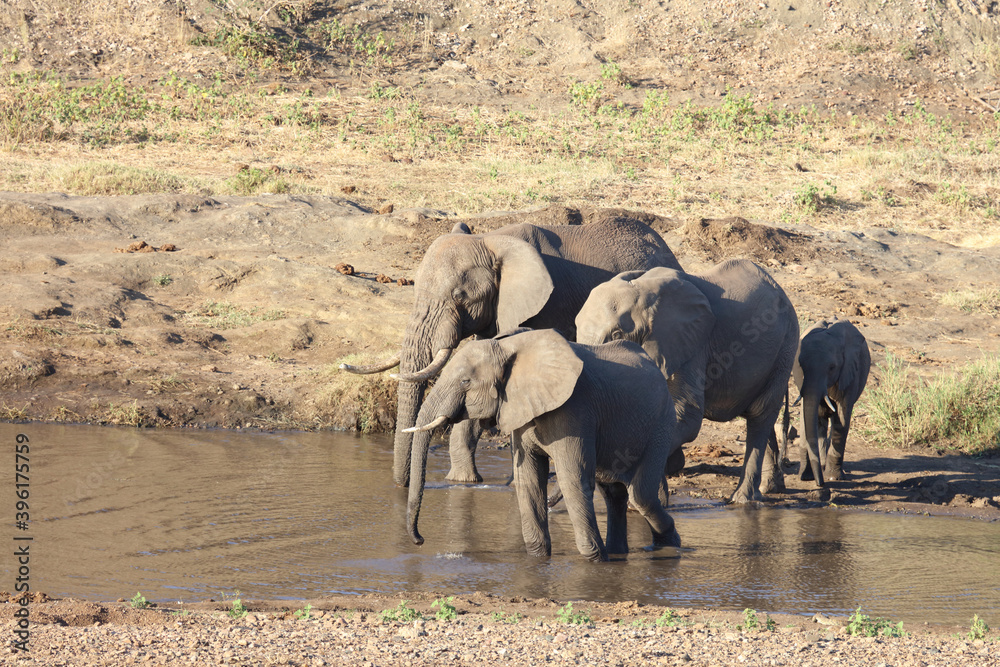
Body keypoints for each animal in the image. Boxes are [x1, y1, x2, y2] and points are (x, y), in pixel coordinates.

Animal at [404, 328, 682, 562]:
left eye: (465, 382)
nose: (419, 540)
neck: (511, 347)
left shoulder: (575, 409)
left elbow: (573, 478)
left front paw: (595, 560)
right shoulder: (521, 410)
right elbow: (528, 478)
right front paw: (538, 559)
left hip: (661, 424)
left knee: (641, 495)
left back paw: (669, 547)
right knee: (614, 492)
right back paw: (620, 553)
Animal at [574, 259, 799, 504]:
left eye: (616, 334)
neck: (643, 290)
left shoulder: (691, 344)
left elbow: (686, 416)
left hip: (786, 346)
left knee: (760, 414)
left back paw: (742, 499)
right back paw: (770, 489)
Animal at [788, 319, 871, 485]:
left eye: (832, 367)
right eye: (800, 365)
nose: (820, 484)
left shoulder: (850, 373)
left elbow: (841, 419)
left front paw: (833, 477)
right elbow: (807, 418)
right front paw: (805, 477)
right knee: (820, 420)